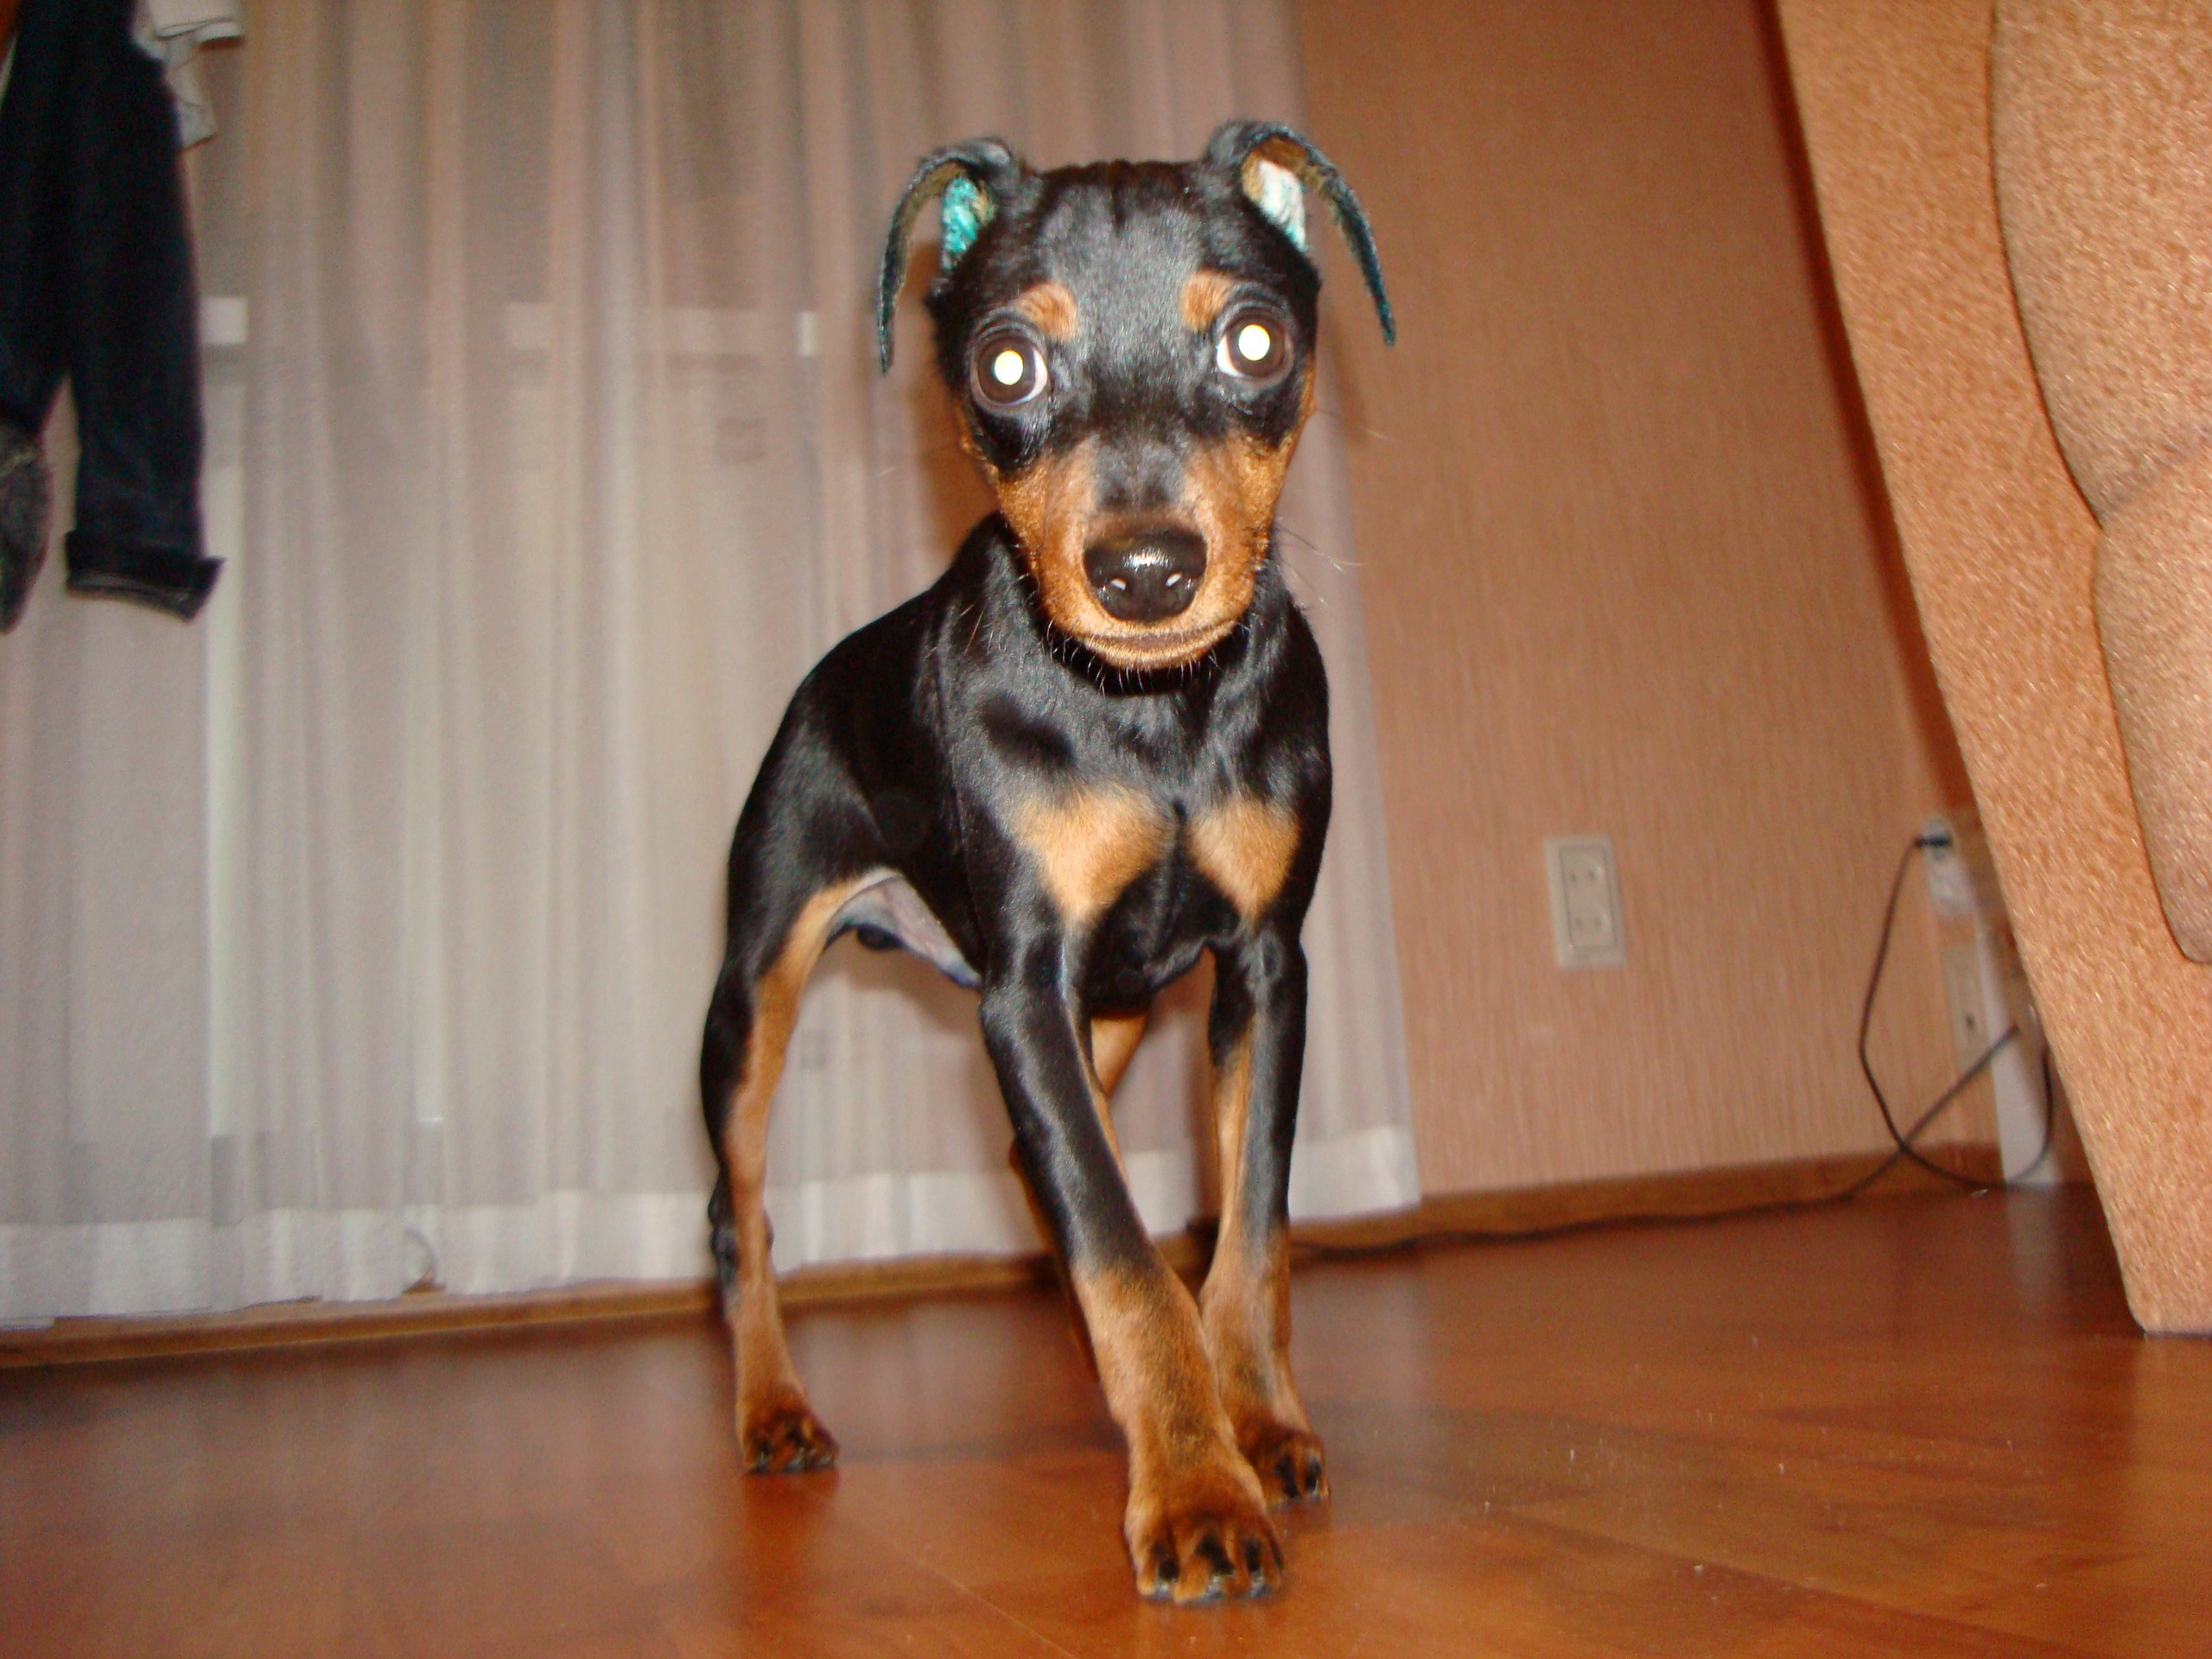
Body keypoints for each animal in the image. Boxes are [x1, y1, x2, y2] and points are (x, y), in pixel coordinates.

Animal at [699, 118, 1392, 1603]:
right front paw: (1195, 1493)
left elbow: (1244, 1231)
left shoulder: (1264, 967)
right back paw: (773, 1412)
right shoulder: (1028, 987)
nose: (1145, 571)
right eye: (1005, 363)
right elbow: (1124, 1251)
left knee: (1047, 1169)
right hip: (756, 996)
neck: (1153, 718)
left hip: (1111, 1012)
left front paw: (1254, 1426)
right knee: (744, 1215)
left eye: (1255, 341)